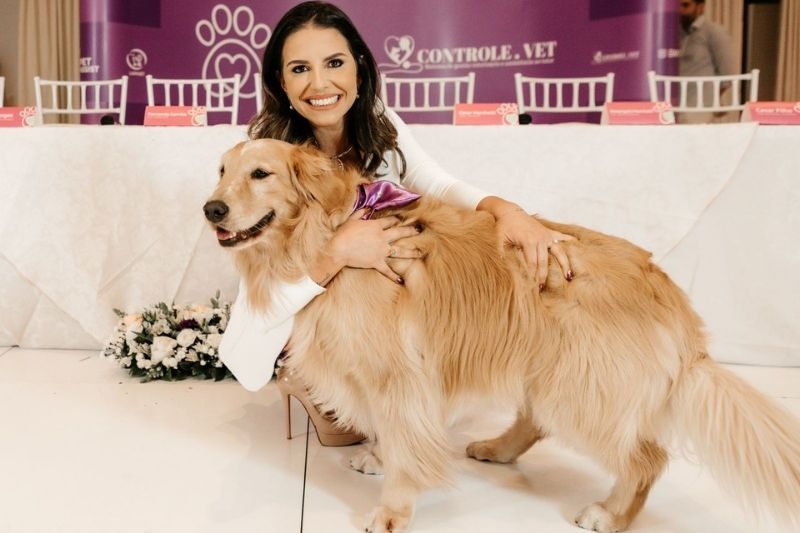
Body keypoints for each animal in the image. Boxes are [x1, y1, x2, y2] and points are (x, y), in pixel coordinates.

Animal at [206, 139, 800, 528]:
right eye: (220, 170)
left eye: (261, 174)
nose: (211, 207)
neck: (325, 236)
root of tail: (665, 285)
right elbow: (389, 431)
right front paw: (377, 456)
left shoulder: (399, 373)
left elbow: (404, 438)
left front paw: (394, 508)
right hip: (551, 366)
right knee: (536, 422)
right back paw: (497, 448)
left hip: (580, 385)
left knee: (645, 458)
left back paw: (609, 514)